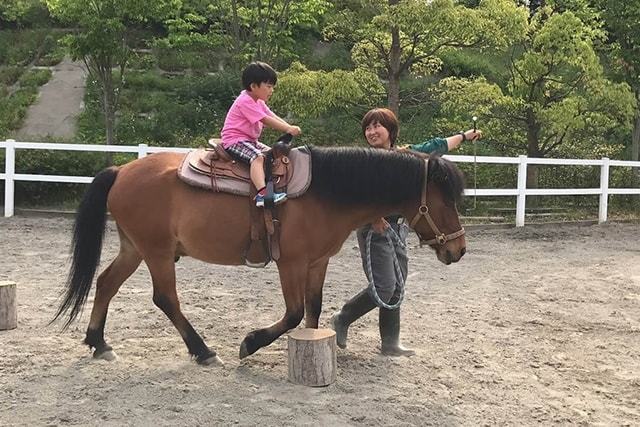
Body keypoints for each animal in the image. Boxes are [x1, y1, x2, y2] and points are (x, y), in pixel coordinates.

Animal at [53, 146, 464, 364]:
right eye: (446, 202)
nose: (459, 250)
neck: (324, 193)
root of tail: (121, 170)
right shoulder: (290, 263)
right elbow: (294, 312)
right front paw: (250, 343)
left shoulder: (317, 262)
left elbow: (313, 310)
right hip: (156, 252)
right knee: (165, 298)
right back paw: (202, 351)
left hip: (134, 248)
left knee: (106, 283)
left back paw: (99, 343)